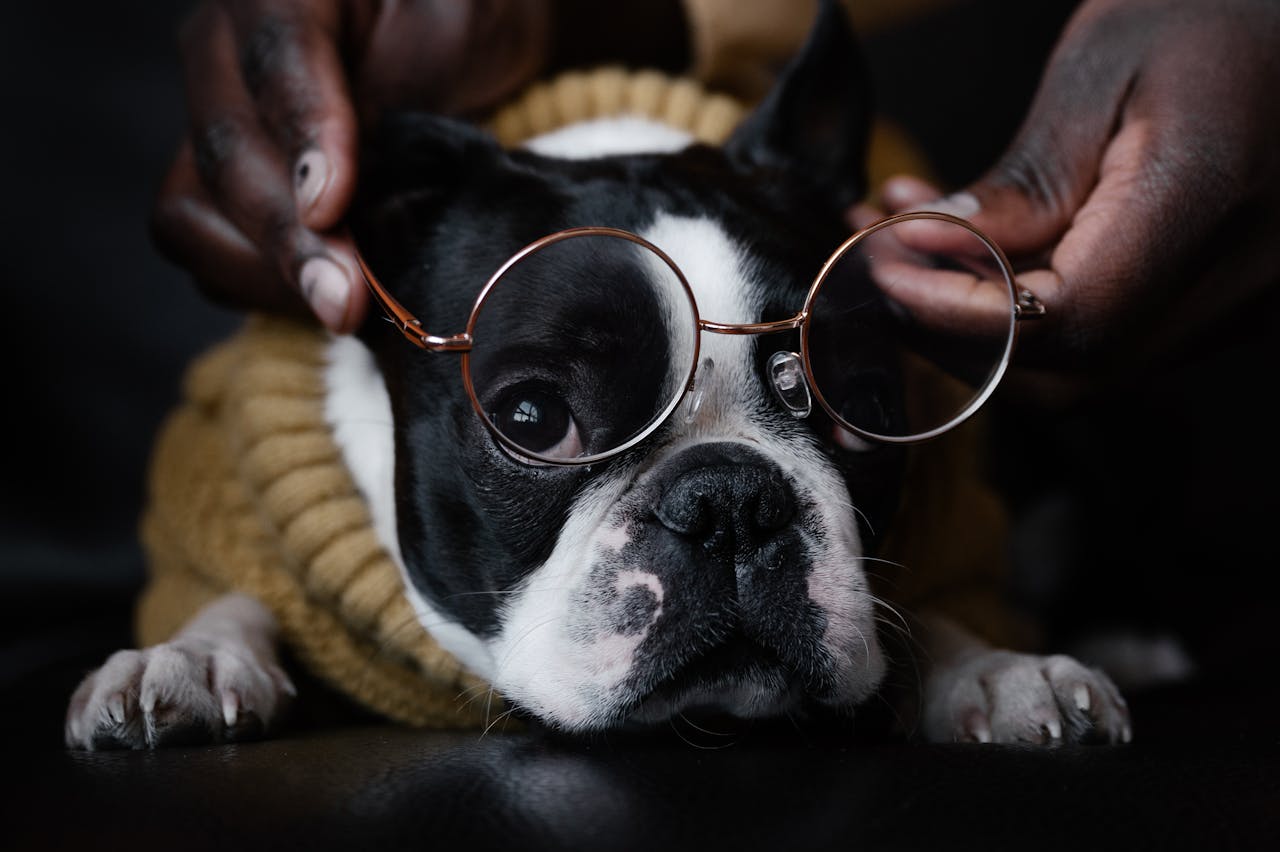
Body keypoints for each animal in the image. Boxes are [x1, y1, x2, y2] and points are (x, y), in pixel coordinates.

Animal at [67, 1, 1131, 741]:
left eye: (853, 405)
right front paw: (188, 657)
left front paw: (999, 667)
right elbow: (232, 587)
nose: (729, 502)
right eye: (535, 420)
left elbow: (941, 610)